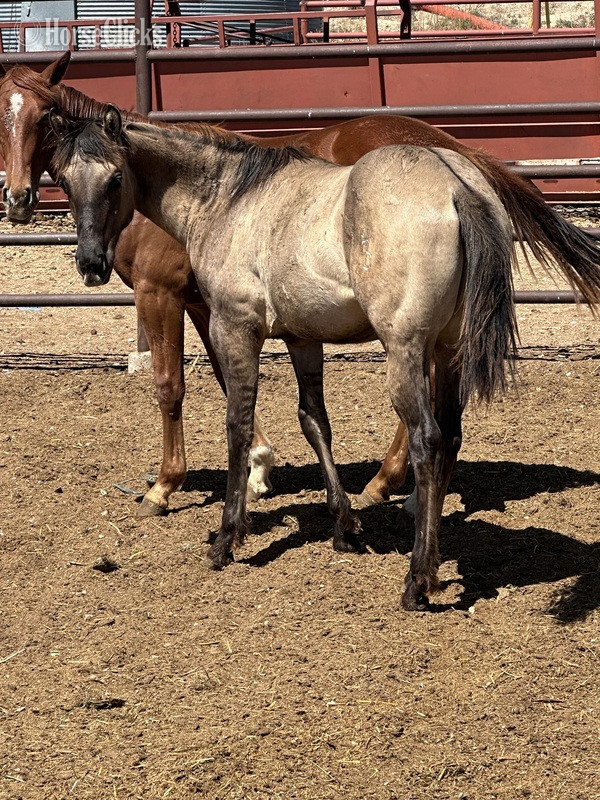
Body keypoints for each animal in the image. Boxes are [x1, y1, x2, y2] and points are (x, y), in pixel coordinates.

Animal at [2, 54, 600, 518]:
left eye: (44, 115)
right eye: (0, 115)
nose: (18, 197)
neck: (205, 194)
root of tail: (452, 158)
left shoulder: (160, 295)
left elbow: (170, 385)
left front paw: (165, 486)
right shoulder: (208, 304)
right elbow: (225, 380)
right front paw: (258, 468)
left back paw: (388, 485)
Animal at [48, 104, 521, 610]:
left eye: (116, 178)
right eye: (64, 180)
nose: (91, 264)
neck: (231, 200)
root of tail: (455, 183)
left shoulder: (234, 326)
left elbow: (237, 423)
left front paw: (226, 536)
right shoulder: (301, 339)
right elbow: (315, 423)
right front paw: (344, 526)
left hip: (406, 350)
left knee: (427, 440)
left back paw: (417, 578)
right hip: (449, 351)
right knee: (449, 435)